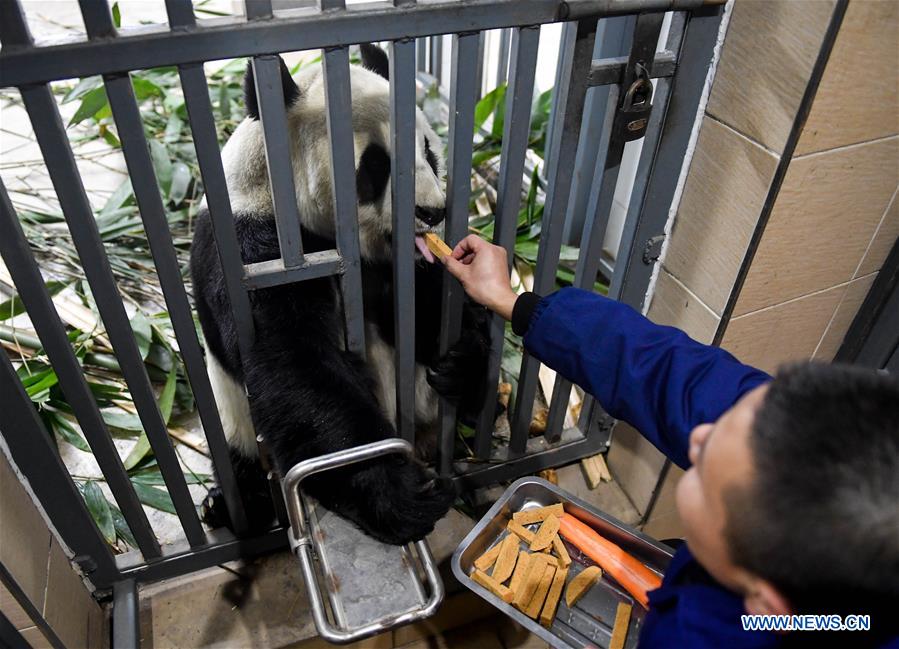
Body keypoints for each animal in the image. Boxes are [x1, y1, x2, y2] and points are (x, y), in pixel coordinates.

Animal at [186, 43, 488, 544]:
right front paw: (405, 495)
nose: (432, 211)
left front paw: (461, 362)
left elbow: (427, 309)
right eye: (377, 166)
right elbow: (295, 366)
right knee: (237, 454)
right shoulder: (254, 253)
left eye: (428, 151)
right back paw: (227, 506)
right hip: (233, 417)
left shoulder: (399, 265)